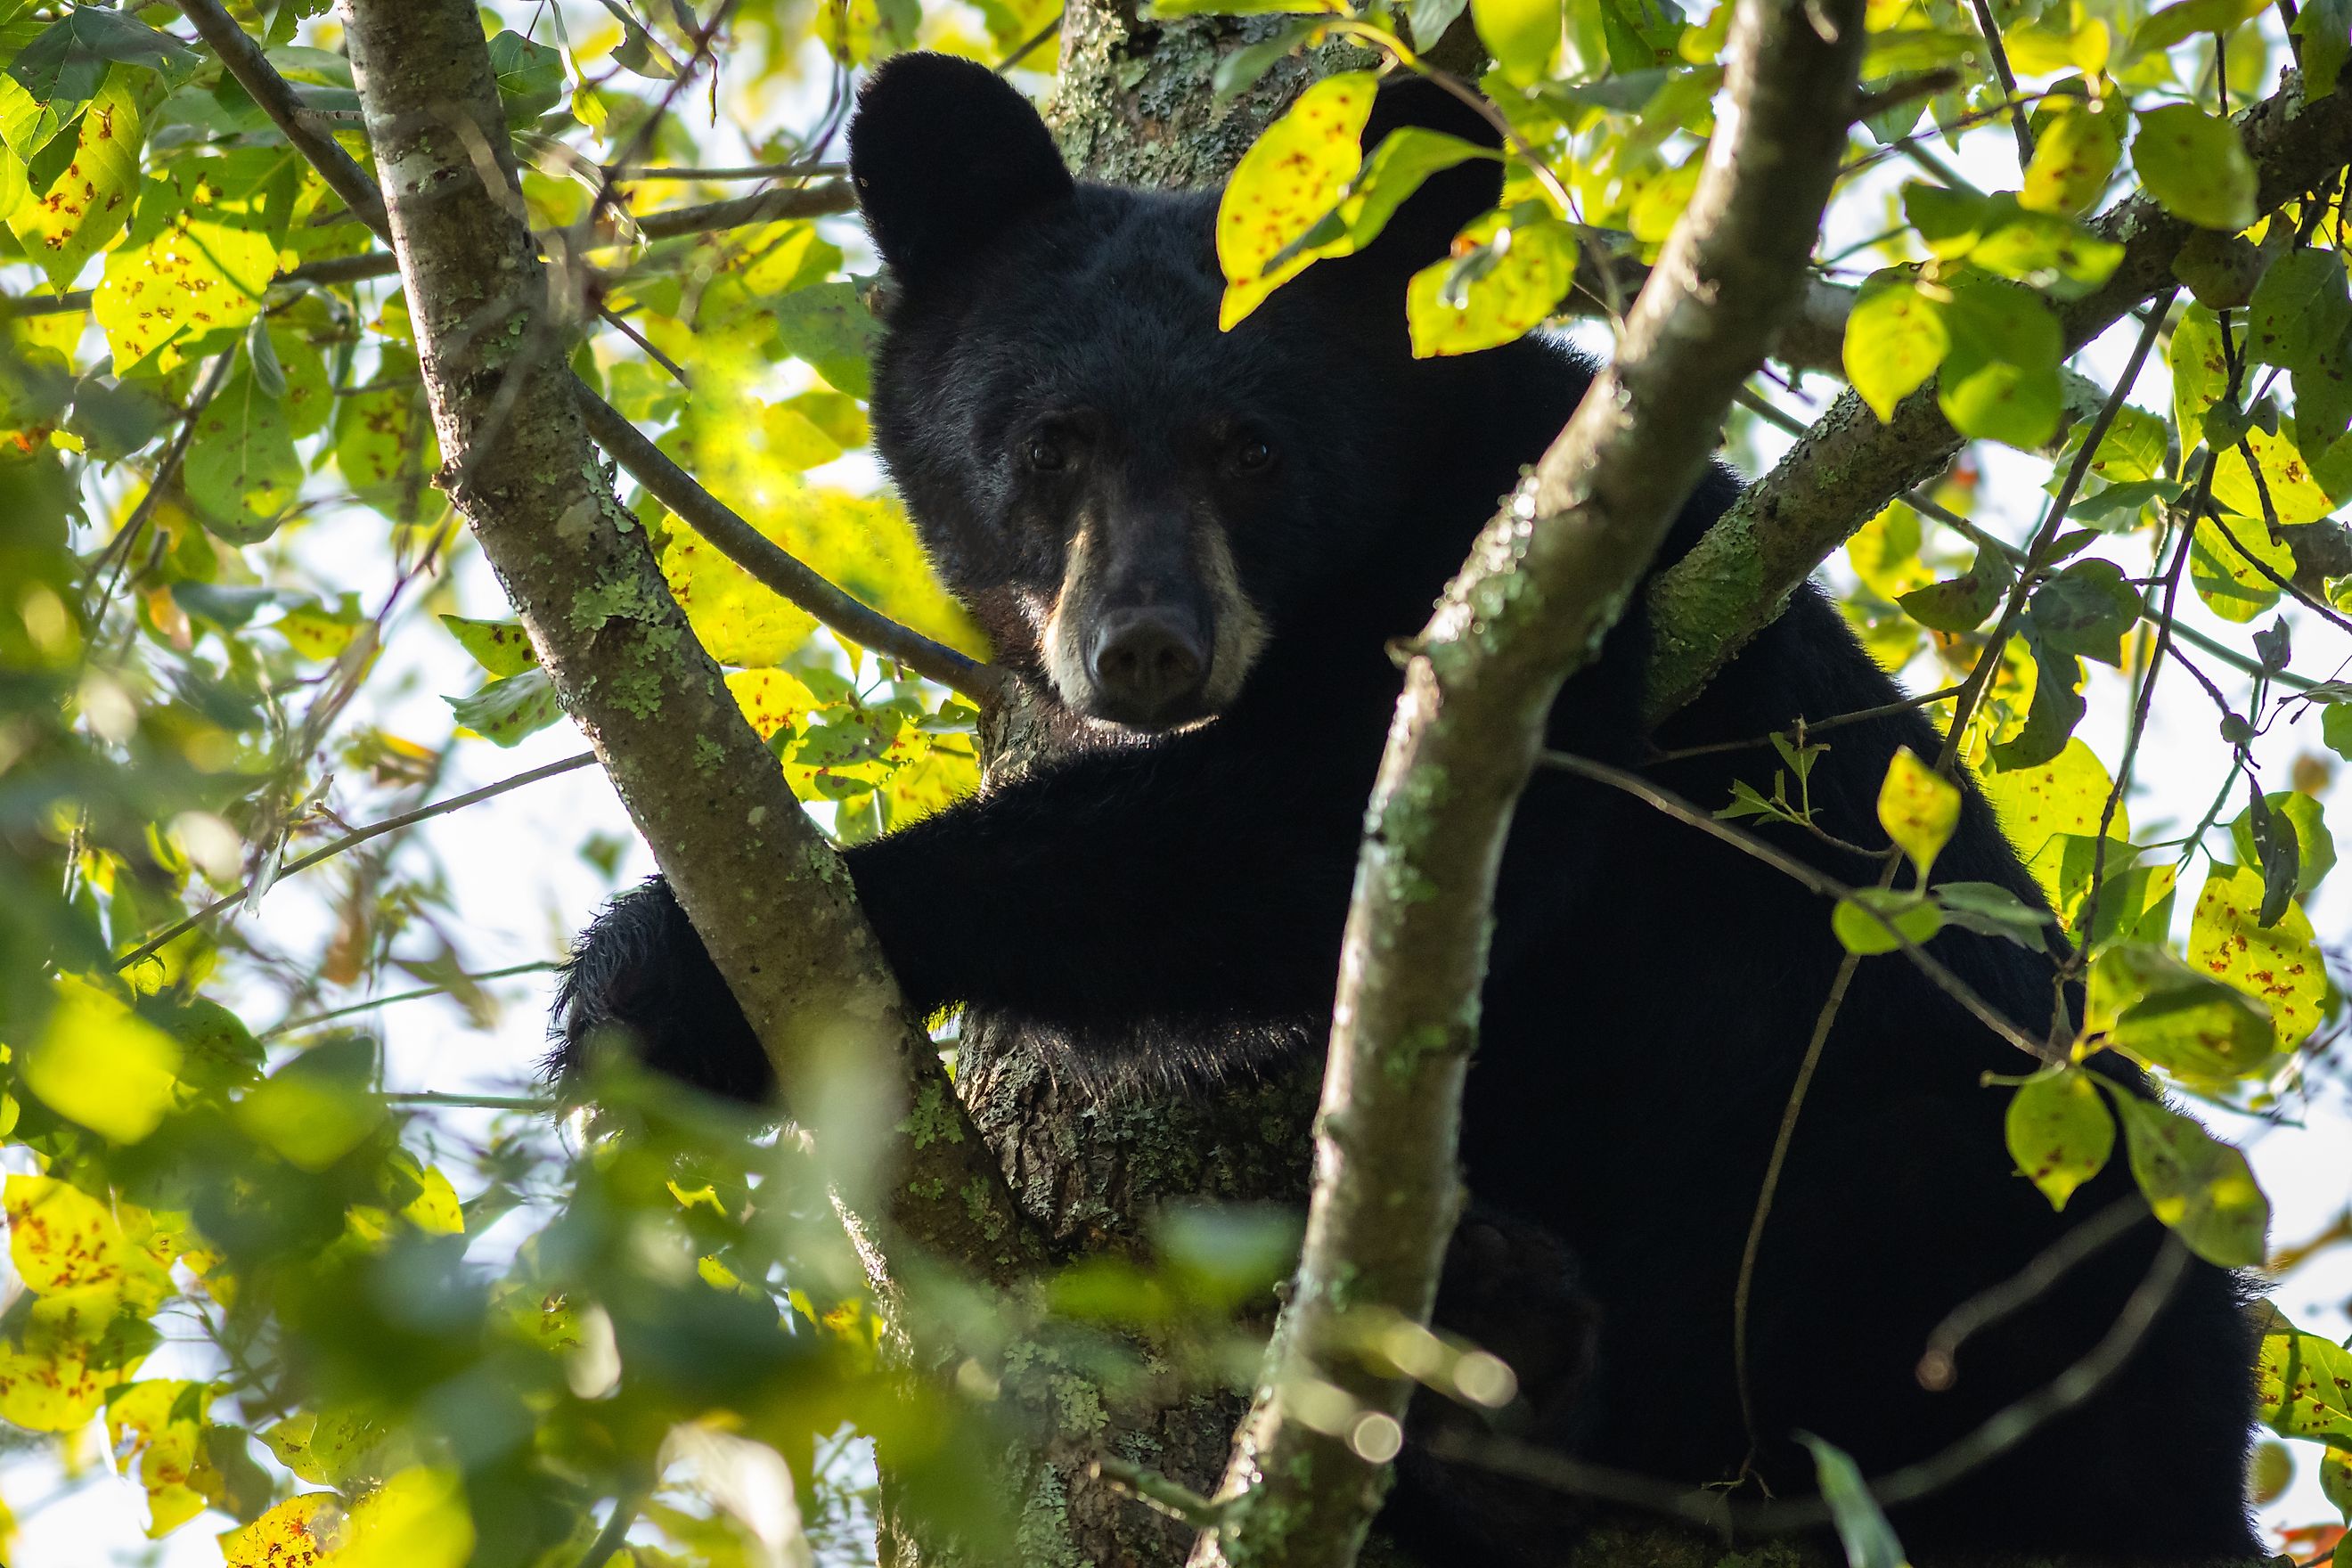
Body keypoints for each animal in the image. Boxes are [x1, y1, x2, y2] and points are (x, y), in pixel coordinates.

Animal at [553, 53, 2261, 1564]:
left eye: (1253, 446)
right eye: (1050, 443)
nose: (1146, 645)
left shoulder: (1532, 549)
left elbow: (1331, 824)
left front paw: (667, 975)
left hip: (1971, 1184)